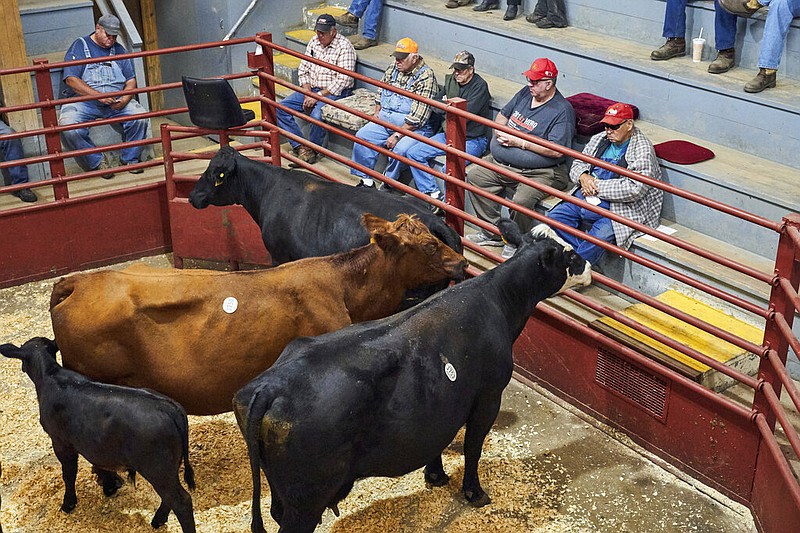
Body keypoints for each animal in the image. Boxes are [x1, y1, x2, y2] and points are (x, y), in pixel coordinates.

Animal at [2, 338, 196, 528]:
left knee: (181, 501)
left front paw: (68, 504)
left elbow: (69, 474)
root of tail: (170, 407)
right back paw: (157, 520)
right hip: (169, 467)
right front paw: (109, 487)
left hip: (157, 467)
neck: (50, 374)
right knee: (169, 498)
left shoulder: (61, 441)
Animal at [234, 218, 592, 528]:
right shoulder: (489, 395)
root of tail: (270, 386)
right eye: (570, 255)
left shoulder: (443, 403)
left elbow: (439, 438)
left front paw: (435, 476)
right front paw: (474, 492)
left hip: (282, 490)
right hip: (307, 499)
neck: (498, 302)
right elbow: (473, 447)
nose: (589, 268)